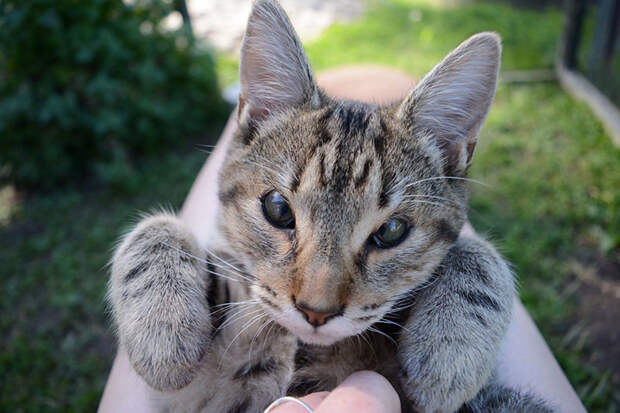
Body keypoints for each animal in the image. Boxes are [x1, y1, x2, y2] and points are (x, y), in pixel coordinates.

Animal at [106, 1, 552, 410]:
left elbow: (479, 251)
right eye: (278, 209)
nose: (316, 312)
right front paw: (164, 333)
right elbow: (156, 227)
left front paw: (446, 355)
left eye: (391, 231)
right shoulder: (198, 393)